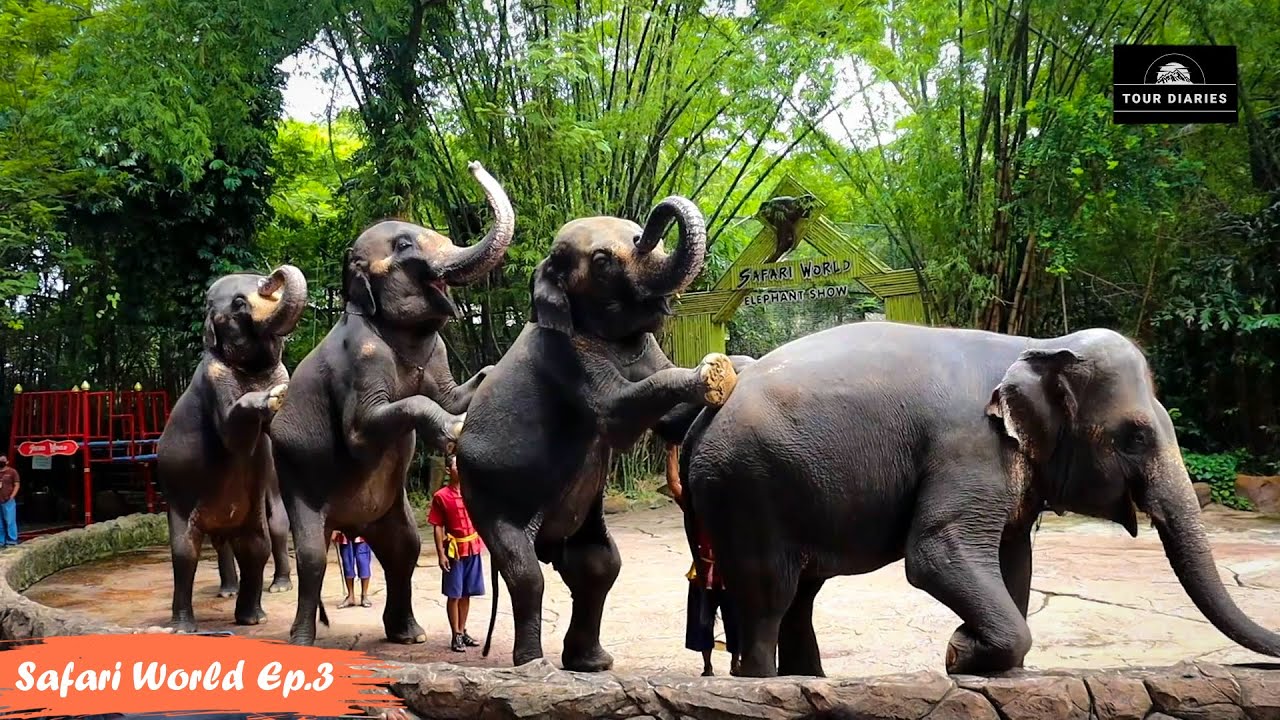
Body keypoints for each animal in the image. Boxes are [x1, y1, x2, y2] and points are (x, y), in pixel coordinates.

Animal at [158, 264, 307, 631]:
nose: (272, 275)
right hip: (181, 504)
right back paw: (185, 625)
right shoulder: (214, 375)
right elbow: (231, 434)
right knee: (185, 551)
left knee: (258, 543)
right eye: (239, 303)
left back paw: (253, 616)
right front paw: (273, 397)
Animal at [270, 161, 514, 646]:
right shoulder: (361, 358)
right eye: (404, 245)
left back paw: (409, 634)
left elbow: (453, 394)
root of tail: (346, 526)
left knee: (404, 547)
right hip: (296, 481)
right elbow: (360, 432)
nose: (473, 165)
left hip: (384, 512)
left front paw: (492, 378)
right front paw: (452, 431)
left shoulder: (437, 354)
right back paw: (302, 639)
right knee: (312, 555)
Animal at [455, 195, 742, 671]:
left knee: (597, 565)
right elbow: (615, 412)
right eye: (603, 262)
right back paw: (533, 665)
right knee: (526, 572)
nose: (649, 229)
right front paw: (711, 373)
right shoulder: (566, 354)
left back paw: (592, 664)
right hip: (486, 496)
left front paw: (741, 366)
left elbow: (671, 420)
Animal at [680, 320, 1280, 678]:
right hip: (747, 488)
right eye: (1134, 437)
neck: (1035, 346)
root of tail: (711, 406)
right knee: (771, 594)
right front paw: (960, 653)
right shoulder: (970, 447)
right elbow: (936, 554)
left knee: (802, 595)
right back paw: (760, 682)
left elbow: (1015, 561)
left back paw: (808, 680)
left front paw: (991, 668)